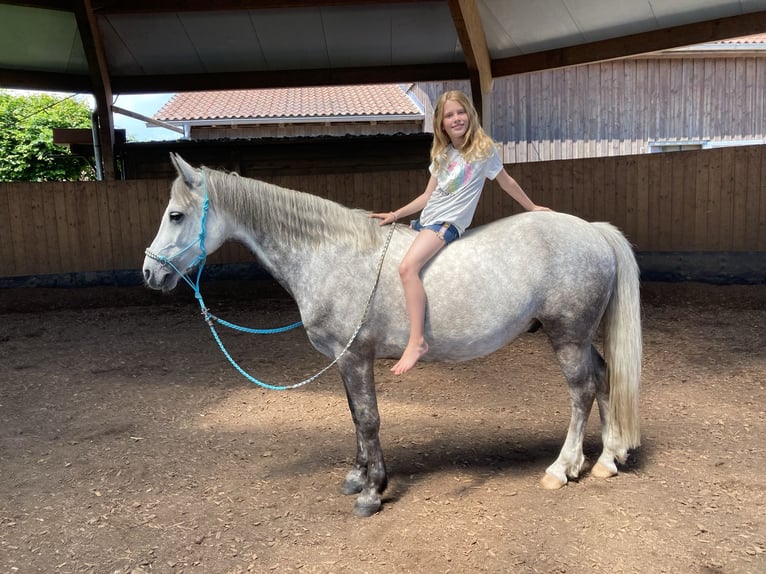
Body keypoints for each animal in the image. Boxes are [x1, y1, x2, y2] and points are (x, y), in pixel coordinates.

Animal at [143, 153, 642, 517]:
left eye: (176, 215)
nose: (150, 272)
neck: (331, 255)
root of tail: (593, 231)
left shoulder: (355, 357)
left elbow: (368, 419)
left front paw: (373, 492)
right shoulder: (344, 359)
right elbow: (354, 416)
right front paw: (357, 478)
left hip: (567, 336)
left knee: (581, 391)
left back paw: (563, 468)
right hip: (580, 338)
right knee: (603, 379)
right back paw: (607, 460)